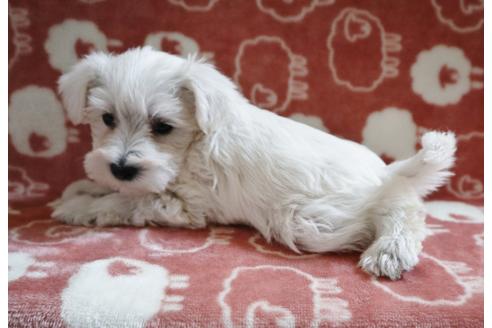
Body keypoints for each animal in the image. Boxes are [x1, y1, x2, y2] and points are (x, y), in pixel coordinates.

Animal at [52, 47, 456, 280]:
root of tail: (384, 173)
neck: (194, 142)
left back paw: (390, 251)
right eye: (107, 119)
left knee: (404, 210)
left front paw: (78, 207)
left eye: (163, 126)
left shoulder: (180, 204)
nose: (121, 167)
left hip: (313, 220)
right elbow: (114, 188)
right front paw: (83, 187)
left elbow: (123, 201)